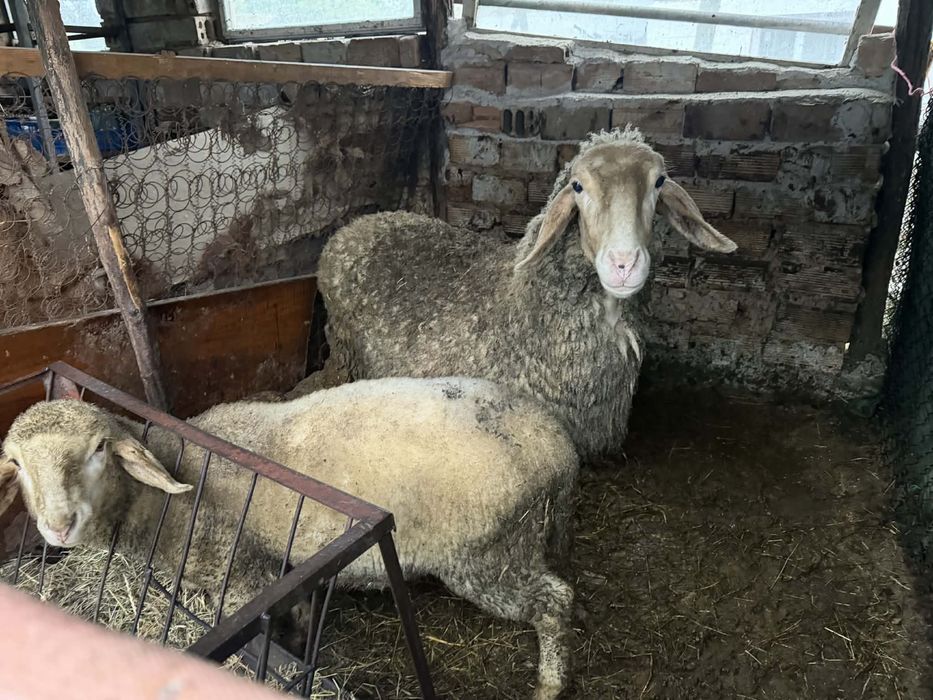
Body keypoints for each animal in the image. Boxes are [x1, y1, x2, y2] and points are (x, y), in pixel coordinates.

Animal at [1, 376, 578, 700]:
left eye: (99, 448)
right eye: (18, 465)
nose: (58, 524)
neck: (164, 497)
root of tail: (559, 446)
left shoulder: (238, 570)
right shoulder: (276, 567)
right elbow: (300, 613)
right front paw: (303, 647)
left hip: (487, 554)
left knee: (556, 601)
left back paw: (549, 684)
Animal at [295, 126, 738, 459]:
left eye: (659, 182)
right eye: (578, 186)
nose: (624, 263)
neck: (522, 300)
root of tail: (354, 227)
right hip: (345, 353)